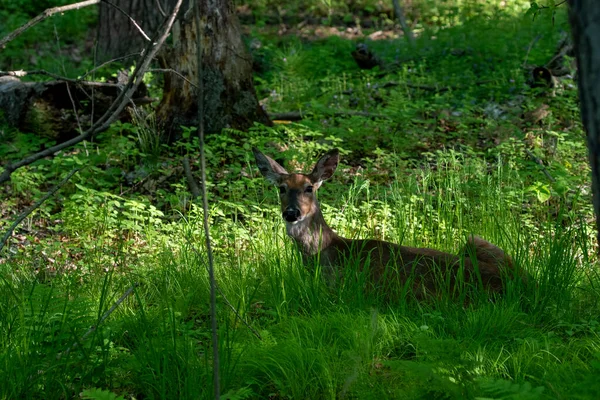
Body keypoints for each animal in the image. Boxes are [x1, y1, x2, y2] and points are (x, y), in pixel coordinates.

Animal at [251, 148, 524, 298]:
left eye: (309, 187)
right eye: (281, 188)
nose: (291, 212)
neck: (323, 253)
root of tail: (522, 284)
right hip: (476, 240)